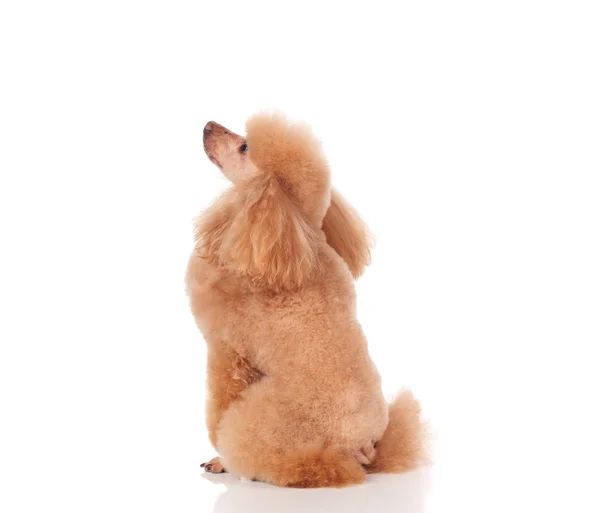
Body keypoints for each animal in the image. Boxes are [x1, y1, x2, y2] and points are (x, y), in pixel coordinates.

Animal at [185, 113, 424, 488]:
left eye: (244, 147)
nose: (209, 125)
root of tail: (364, 448)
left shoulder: (226, 350)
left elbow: (220, 405)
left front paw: (219, 460)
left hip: (269, 421)